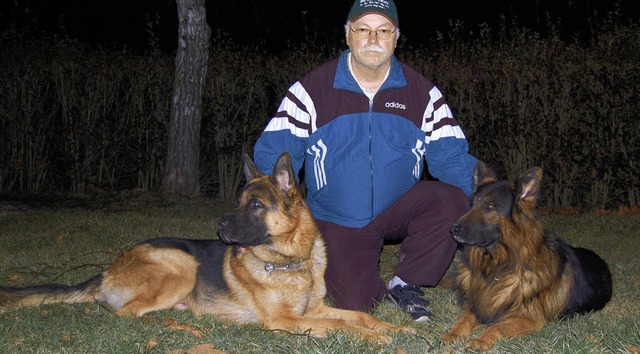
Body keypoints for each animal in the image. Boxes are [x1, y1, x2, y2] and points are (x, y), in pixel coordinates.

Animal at [0, 153, 416, 344]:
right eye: (239, 201)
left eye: (255, 204)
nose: (219, 225)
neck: (290, 261)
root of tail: (107, 270)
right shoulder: (287, 320)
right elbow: (338, 324)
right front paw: (376, 338)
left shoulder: (313, 309)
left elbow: (358, 315)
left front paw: (393, 328)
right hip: (182, 264)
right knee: (126, 314)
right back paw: (178, 323)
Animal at [442, 163, 612, 352]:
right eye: (473, 204)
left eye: (491, 206)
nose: (453, 229)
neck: (498, 265)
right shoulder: (479, 307)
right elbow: (464, 319)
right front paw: (453, 333)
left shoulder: (529, 319)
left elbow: (498, 326)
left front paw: (480, 340)